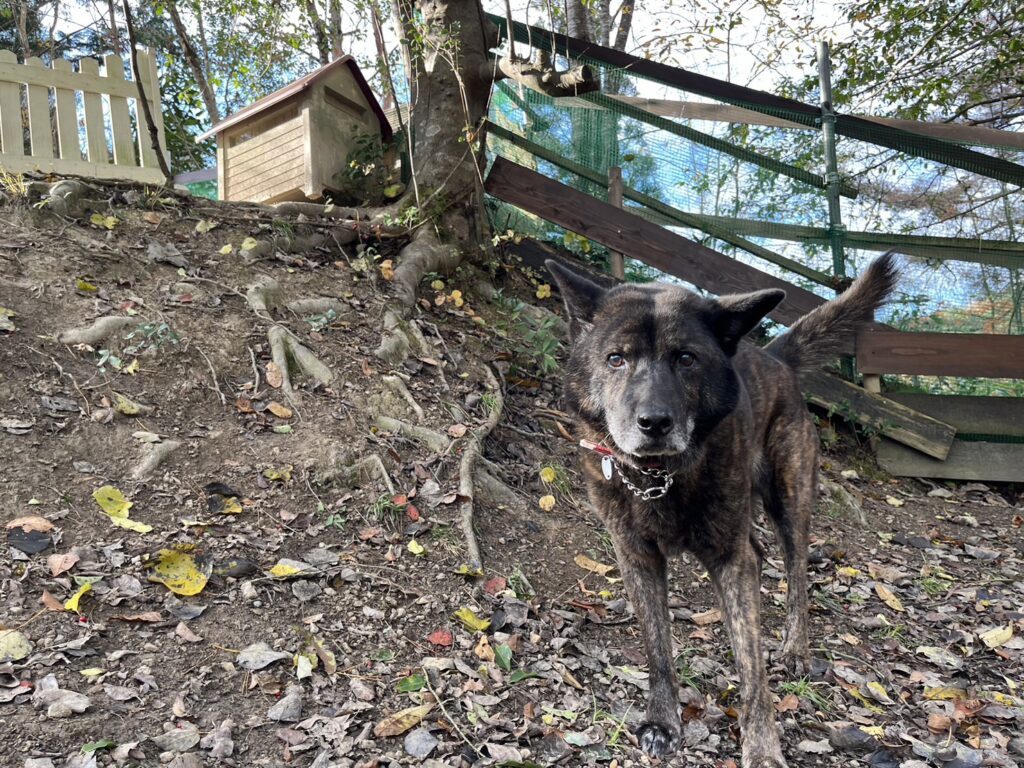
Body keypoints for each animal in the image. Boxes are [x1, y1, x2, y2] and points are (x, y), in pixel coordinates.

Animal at [546, 254, 897, 767]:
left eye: (686, 358)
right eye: (616, 358)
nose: (654, 423)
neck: (659, 477)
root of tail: (774, 357)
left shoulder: (730, 561)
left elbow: (752, 671)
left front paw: (763, 748)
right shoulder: (637, 558)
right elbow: (657, 647)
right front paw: (662, 721)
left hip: (789, 500)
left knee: (795, 570)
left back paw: (795, 646)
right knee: (760, 552)